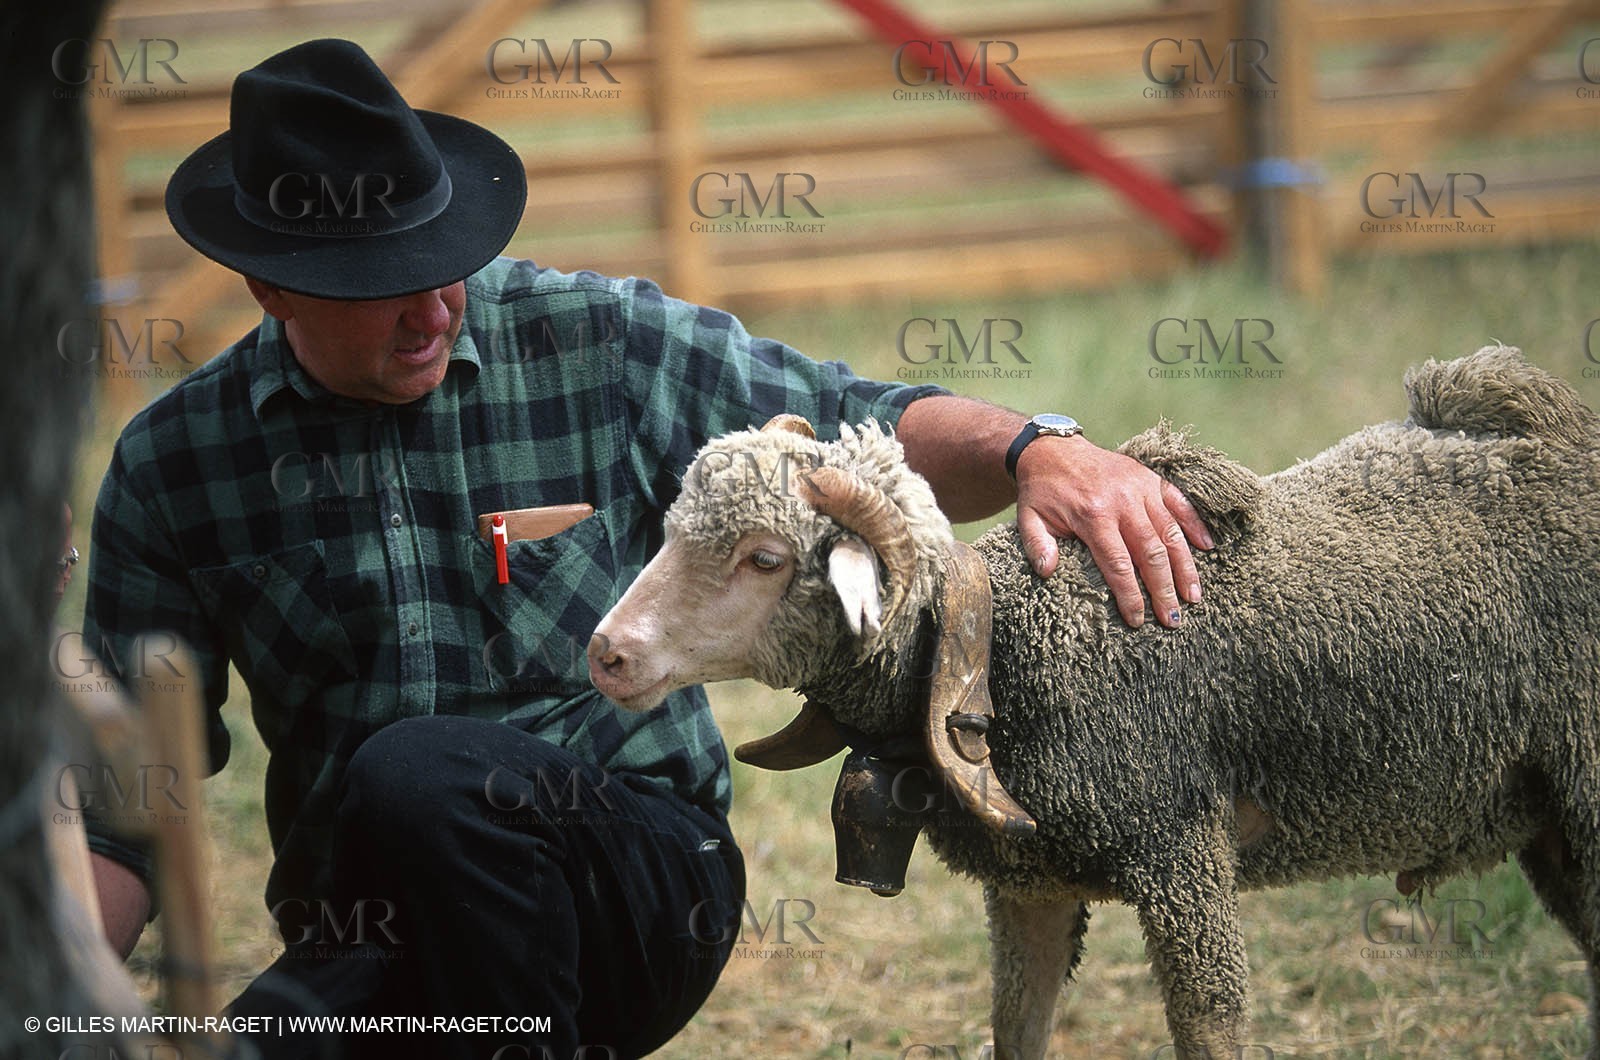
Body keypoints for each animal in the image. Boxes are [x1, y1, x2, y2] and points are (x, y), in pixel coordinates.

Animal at [588, 345, 1600, 1059]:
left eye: (764, 558)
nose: (607, 653)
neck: (1010, 652)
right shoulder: (1030, 885)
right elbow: (1018, 1031)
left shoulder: (1182, 854)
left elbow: (1212, 1029)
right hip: (1549, 820)